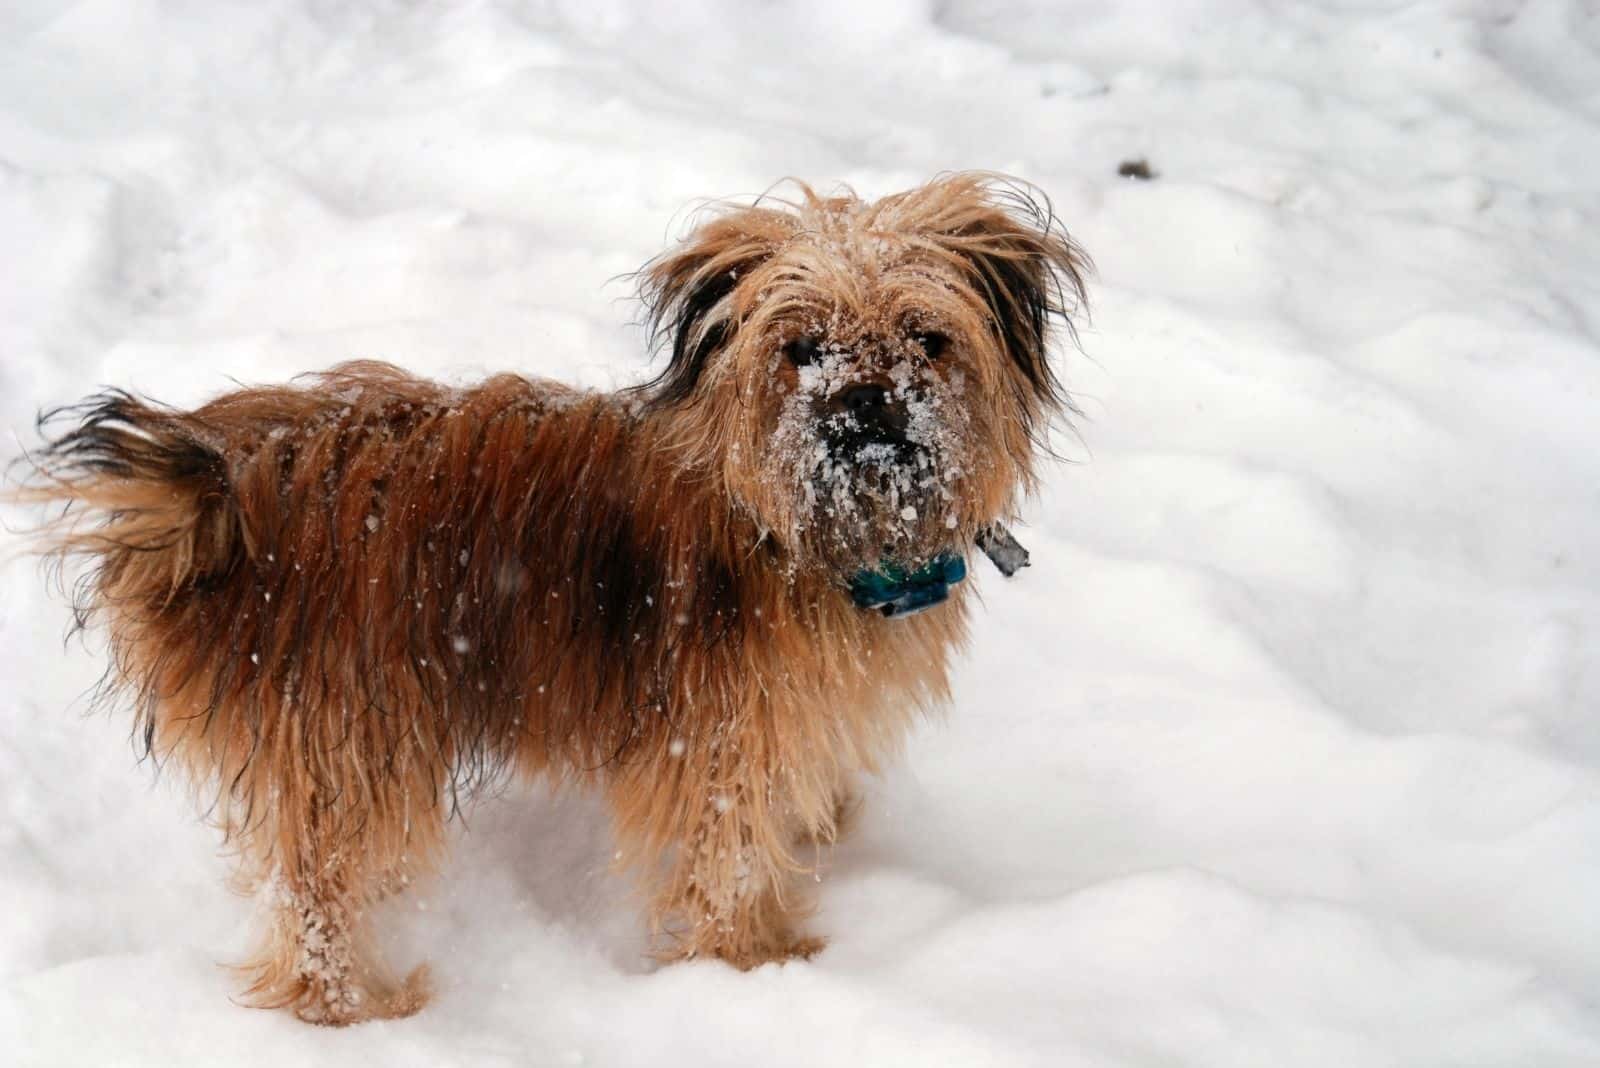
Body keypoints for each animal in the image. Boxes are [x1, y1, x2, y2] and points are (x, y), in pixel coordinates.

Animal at [15, 175, 1088, 1023]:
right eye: (802, 347)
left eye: (926, 337)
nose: (864, 401)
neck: (802, 531)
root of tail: (222, 488)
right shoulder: (721, 741)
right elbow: (728, 854)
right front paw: (753, 968)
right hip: (347, 730)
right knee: (321, 900)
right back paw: (362, 1013)